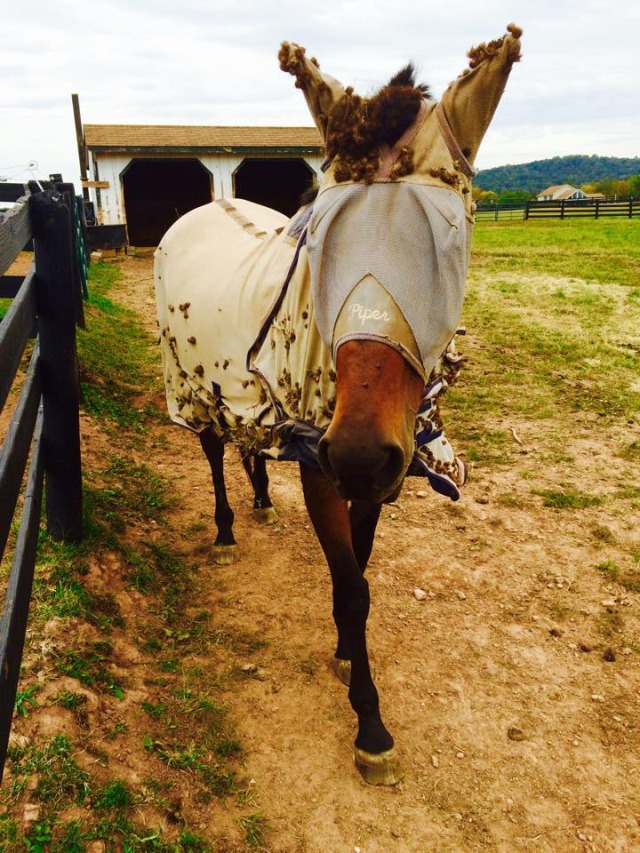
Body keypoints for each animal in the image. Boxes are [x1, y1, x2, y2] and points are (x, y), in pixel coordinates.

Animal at [155, 25, 522, 785]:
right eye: (323, 243)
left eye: (447, 249)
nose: (357, 448)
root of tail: (204, 205)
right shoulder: (322, 465)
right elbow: (353, 586)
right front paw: (370, 723)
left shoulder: (375, 472)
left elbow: (362, 561)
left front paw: (348, 652)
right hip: (198, 388)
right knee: (214, 450)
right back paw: (227, 527)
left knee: (249, 447)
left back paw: (261, 498)